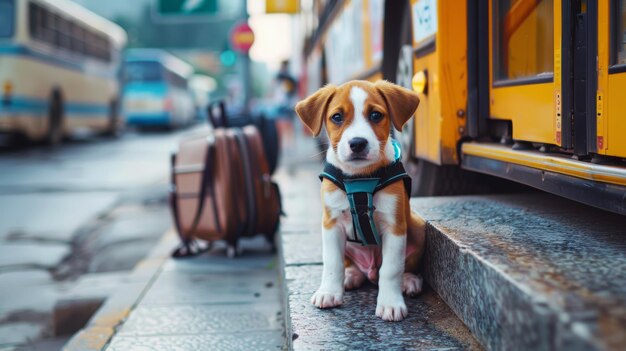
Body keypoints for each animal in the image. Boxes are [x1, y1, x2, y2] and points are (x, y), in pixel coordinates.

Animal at [294, 81, 424, 324]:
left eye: (375, 115)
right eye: (336, 117)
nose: (357, 143)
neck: (359, 177)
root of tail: (369, 268)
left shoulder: (395, 226)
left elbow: (391, 269)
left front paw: (390, 303)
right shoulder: (331, 223)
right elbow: (332, 262)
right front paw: (329, 292)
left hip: (418, 226)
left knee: (399, 267)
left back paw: (409, 280)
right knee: (350, 265)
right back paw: (351, 276)